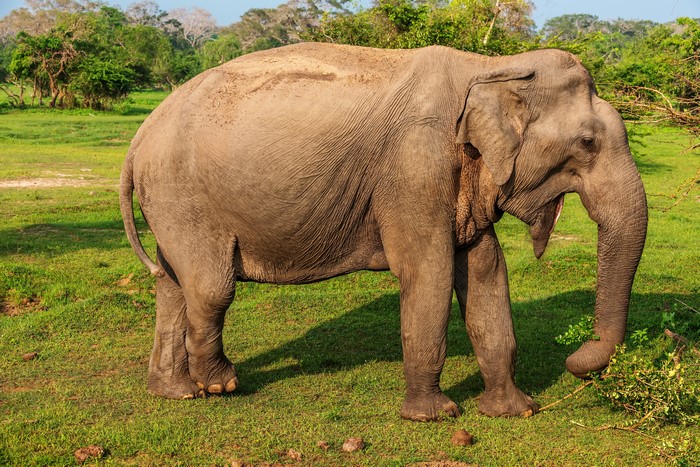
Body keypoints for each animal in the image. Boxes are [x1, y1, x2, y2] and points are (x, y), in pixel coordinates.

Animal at [120, 42, 647, 421]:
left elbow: (486, 272)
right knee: (211, 289)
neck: (492, 67)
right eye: (587, 142)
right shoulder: (415, 166)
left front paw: (515, 412)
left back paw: (176, 394)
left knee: (172, 285)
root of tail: (140, 136)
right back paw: (220, 384)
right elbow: (428, 273)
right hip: (183, 197)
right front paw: (434, 417)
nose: (575, 360)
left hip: (169, 203)